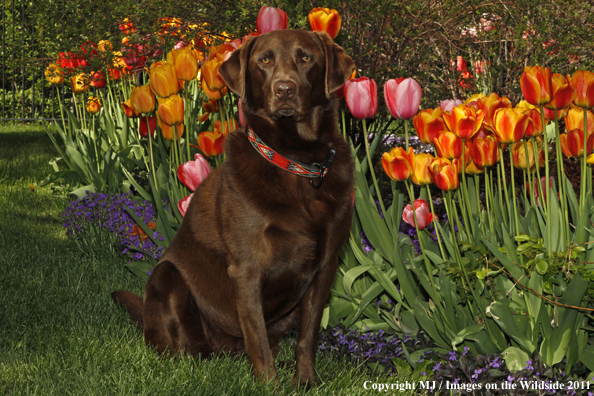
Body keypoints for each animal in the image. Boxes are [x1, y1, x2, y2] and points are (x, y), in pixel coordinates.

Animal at [111, 30, 354, 386]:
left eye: (307, 58)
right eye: (264, 60)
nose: (285, 89)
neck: (296, 161)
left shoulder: (325, 266)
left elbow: (308, 336)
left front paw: (306, 381)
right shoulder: (248, 269)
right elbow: (258, 340)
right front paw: (269, 386)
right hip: (167, 277)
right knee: (185, 349)